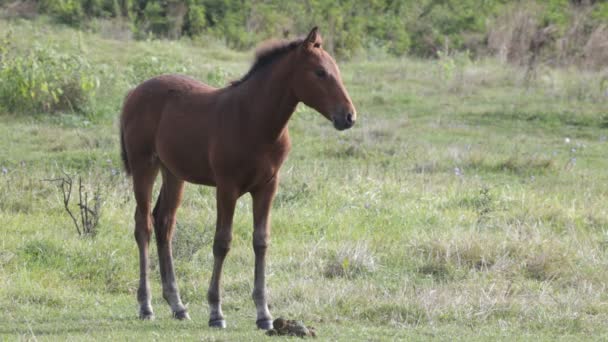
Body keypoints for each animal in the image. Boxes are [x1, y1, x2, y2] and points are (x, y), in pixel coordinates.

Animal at [119, 27, 356, 328]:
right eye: (320, 72)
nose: (348, 116)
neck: (255, 121)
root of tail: (133, 93)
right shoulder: (226, 187)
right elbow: (222, 242)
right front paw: (216, 312)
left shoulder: (267, 186)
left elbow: (261, 241)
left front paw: (264, 314)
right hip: (144, 166)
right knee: (144, 226)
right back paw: (146, 305)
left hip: (173, 172)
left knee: (164, 223)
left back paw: (177, 305)